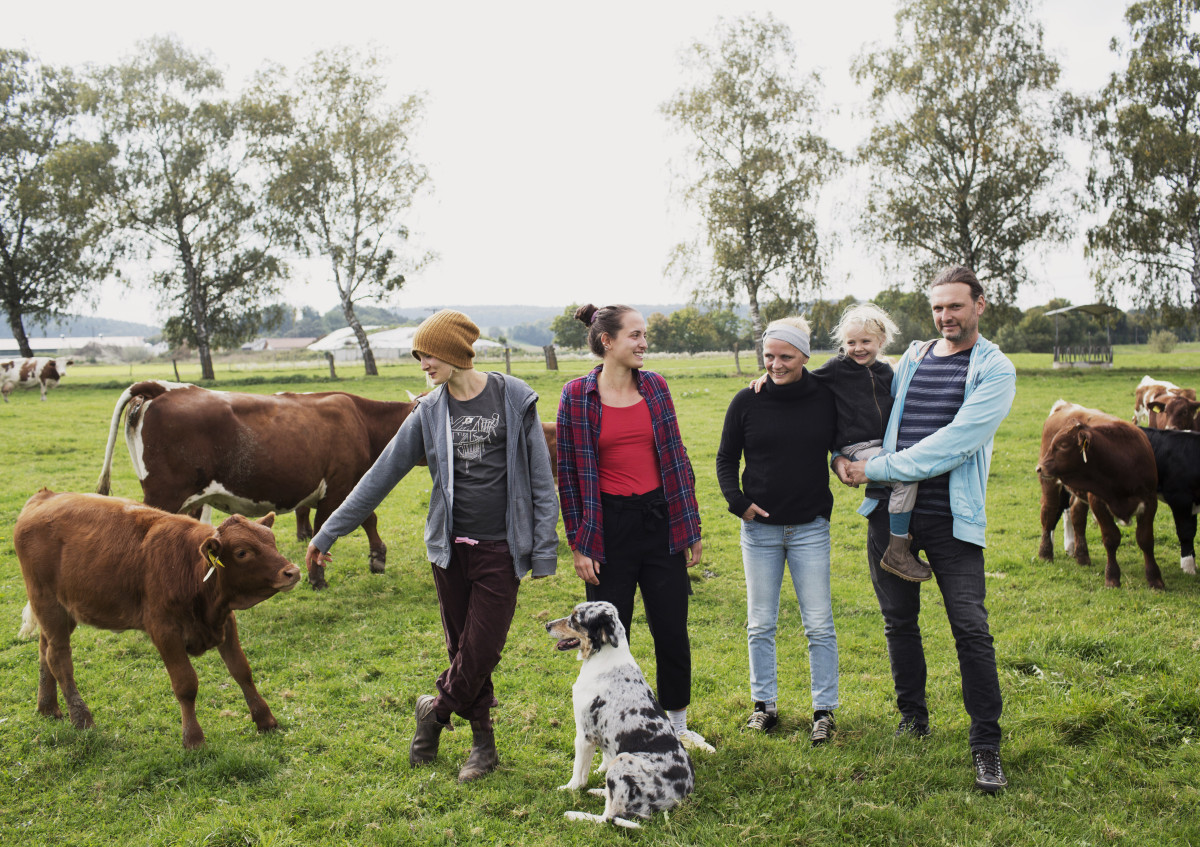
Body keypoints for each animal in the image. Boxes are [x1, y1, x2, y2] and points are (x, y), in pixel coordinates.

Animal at [14, 489, 300, 743]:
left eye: (272, 541)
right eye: (242, 552)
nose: (292, 571)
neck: (189, 567)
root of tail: (44, 496)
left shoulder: (225, 622)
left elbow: (242, 670)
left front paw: (265, 719)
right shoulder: (164, 631)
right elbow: (186, 684)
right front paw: (193, 738)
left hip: (62, 610)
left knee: (44, 650)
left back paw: (47, 707)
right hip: (49, 604)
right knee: (58, 657)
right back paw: (82, 718)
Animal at [96, 379, 420, 583]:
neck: (361, 420)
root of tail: (164, 388)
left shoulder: (351, 487)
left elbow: (368, 518)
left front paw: (377, 558)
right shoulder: (338, 487)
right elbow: (324, 530)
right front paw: (318, 578)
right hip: (164, 494)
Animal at [544, 597, 696, 830]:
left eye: (575, 619)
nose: (547, 625)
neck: (603, 661)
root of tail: (679, 797)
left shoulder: (584, 735)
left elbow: (578, 773)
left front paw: (569, 789)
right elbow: (600, 761)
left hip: (623, 760)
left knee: (608, 817)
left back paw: (574, 814)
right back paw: (599, 791)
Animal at [1036, 400, 1166, 587]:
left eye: (1063, 446)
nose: (1039, 467)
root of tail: (1065, 405)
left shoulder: (1150, 501)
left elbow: (1145, 539)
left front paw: (1155, 579)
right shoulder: (1097, 501)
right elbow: (1111, 539)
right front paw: (1112, 577)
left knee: (1077, 515)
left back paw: (1082, 557)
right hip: (1050, 483)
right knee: (1048, 513)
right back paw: (1045, 554)